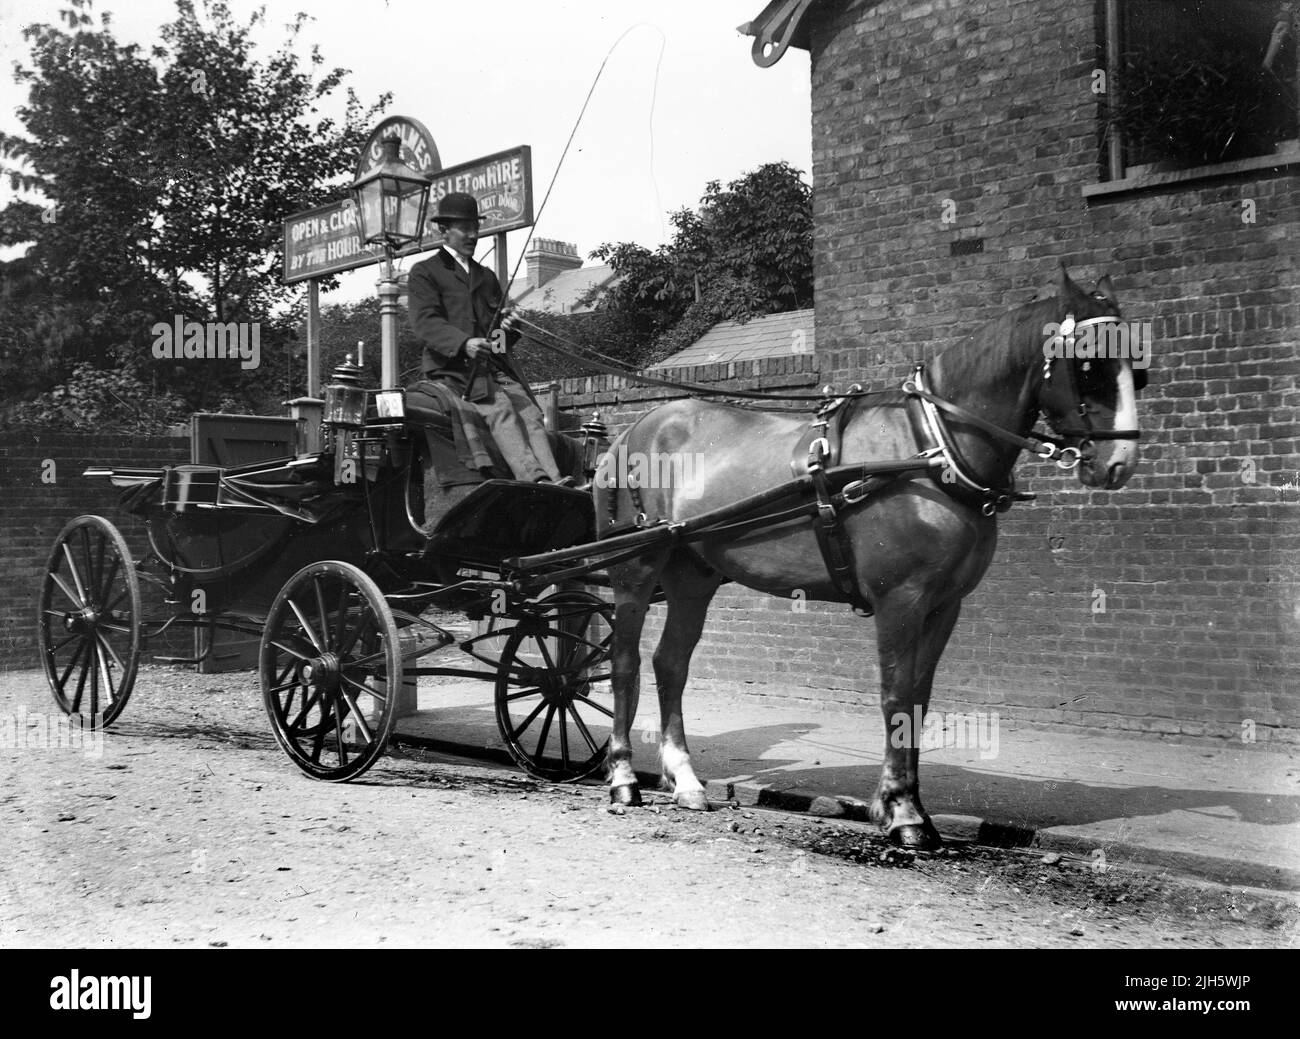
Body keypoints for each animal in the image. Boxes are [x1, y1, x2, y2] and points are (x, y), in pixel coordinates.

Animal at [595, 263, 1144, 847]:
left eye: (1139, 370)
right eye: (1089, 365)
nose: (1120, 462)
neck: (930, 447)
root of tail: (635, 432)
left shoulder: (944, 604)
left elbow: (919, 700)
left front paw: (909, 807)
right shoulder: (899, 599)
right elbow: (895, 696)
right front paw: (902, 812)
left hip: (691, 574)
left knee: (670, 663)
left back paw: (685, 780)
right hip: (635, 571)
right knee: (625, 664)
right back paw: (623, 777)